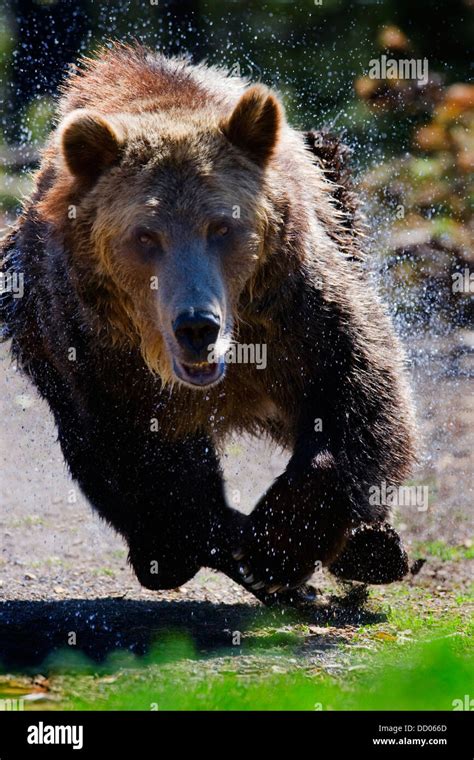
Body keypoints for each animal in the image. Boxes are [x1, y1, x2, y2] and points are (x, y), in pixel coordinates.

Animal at [0, 46, 414, 604]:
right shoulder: (96, 353)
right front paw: (244, 551)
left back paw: (373, 549)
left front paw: (280, 542)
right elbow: (143, 464)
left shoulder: (296, 305)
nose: (198, 325)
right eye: (145, 235)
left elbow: (358, 392)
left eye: (222, 226)